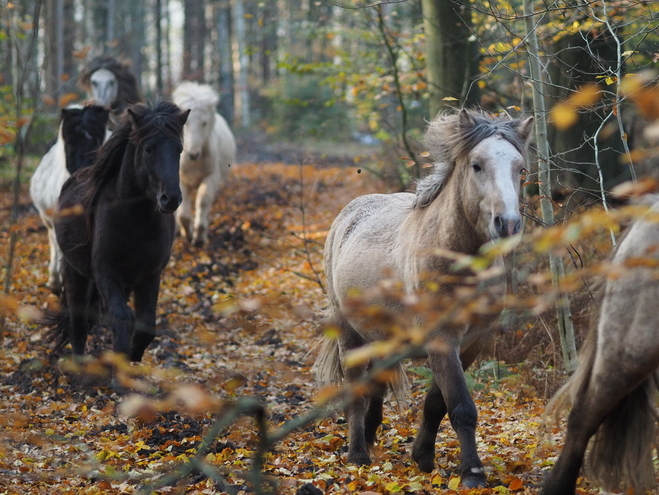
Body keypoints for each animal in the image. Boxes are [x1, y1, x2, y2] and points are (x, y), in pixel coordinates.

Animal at [53, 102, 189, 362]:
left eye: (179, 149)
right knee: (79, 323)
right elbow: (121, 317)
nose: (171, 199)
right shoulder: (106, 272)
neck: (135, 221)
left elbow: (146, 325)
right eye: (148, 148)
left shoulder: (150, 274)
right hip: (76, 272)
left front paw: (132, 358)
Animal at [173, 81, 237, 248]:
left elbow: (203, 201)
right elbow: (183, 214)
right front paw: (187, 235)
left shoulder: (211, 177)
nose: (192, 154)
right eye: (185, 123)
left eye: (204, 123)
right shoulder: (181, 180)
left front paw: (199, 238)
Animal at [312, 109, 532, 488]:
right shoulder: (442, 339)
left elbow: (436, 404)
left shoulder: (471, 343)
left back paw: (370, 435)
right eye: (476, 165)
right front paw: (472, 472)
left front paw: (423, 457)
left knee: (376, 387)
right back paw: (358, 455)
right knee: (356, 395)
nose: (507, 224)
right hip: (349, 333)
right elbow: (460, 406)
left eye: (520, 168)